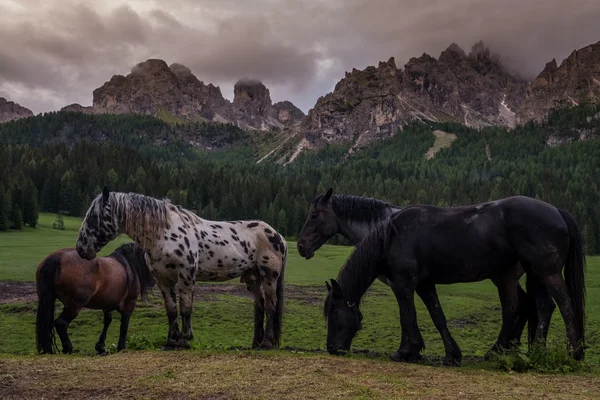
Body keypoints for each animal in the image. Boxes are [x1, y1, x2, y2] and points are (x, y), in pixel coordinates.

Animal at [76, 188, 288, 350]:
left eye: (94, 217)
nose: (80, 248)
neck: (164, 232)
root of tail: (278, 235)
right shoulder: (163, 280)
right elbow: (171, 310)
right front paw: (172, 340)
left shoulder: (186, 276)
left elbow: (186, 308)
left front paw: (185, 340)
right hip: (253, 279)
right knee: (259, 307)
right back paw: (256, 343)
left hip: (269, 277)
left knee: (270, 306)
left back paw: (267, 343)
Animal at [322, 195, 584, 364]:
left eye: (333, 311)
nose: (331, 348)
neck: (393, 236)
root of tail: (556, 211)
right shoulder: (425, 285)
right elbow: (437, 316)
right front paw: (450, 354)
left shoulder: (402, 284)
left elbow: (406, 315)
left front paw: (404, 352)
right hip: (534, 274)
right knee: (542, 306)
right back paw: (532, 351)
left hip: (545, 272)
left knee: (562, 304)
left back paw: (572, 351)